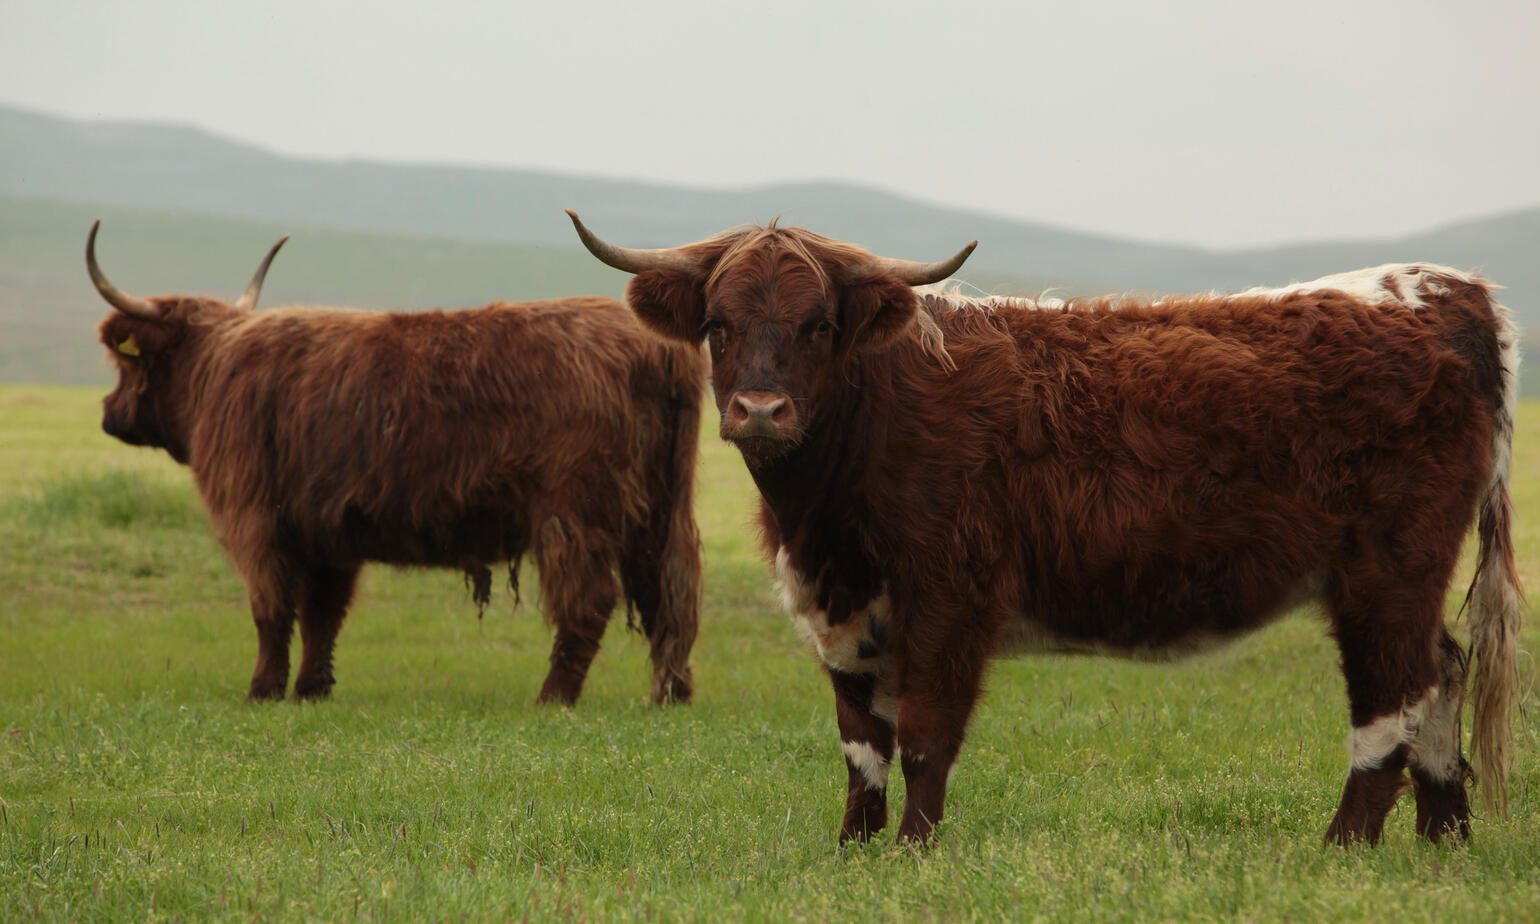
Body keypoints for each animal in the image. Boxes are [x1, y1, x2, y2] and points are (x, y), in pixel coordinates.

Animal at [89, 221, 705, 706]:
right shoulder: (326, 534)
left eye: (126, 366)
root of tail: (656, 347)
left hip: (574, 513)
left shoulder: (255, 520)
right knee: (670, 594)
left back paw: (553, 698)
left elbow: (272, 611)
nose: (108, 414)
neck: (213, 369)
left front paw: (262, 691)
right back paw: (669, 695)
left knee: (589, 602)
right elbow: (323, 615)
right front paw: (312, 689)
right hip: (659, 511)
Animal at [567, 210, 1524, 847]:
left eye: (819, 323)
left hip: (1385, 570)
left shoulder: (948, 599)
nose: (761, 411)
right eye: (717, 324)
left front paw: (912, 854)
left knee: (1393, 698)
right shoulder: (847, 613)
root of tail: (1440, 289)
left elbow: (925, 737)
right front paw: (852, 853)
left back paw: (1342, 848)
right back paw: (1442, 842)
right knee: (1442, 671)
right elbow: (860, 744)